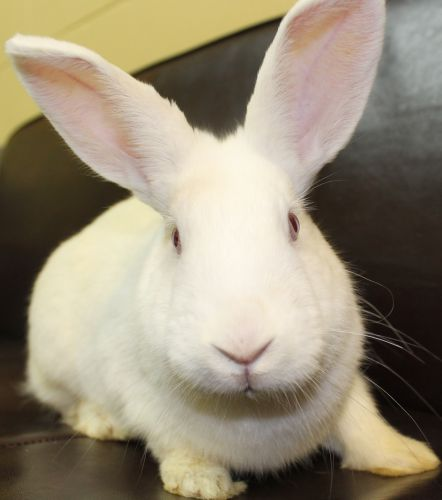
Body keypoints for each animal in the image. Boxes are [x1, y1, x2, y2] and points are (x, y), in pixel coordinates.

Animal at [5, 0, 440, 498]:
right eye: (177, 238)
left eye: (293, 224)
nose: (244, 348)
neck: (252, 412)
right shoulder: (150, 411)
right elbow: (176, 447)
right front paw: (203, 483)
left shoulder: (347, 383)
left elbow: (362, 423)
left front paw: (407, 459)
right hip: (53, 365)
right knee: (68, 404)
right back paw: (103, 423)